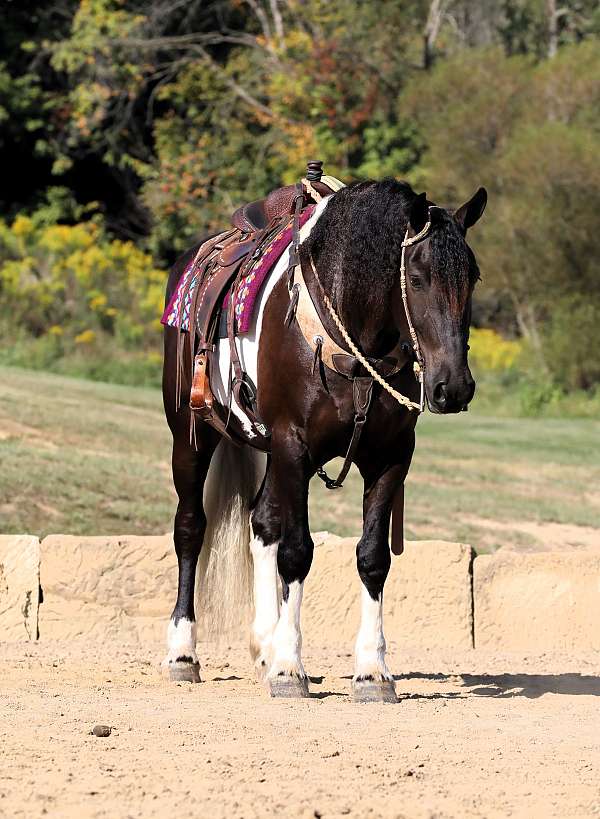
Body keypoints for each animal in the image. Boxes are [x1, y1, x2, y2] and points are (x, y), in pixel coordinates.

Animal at [161, 176, 488, 700]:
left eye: (472, 278)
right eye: (417, 278)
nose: (453, 387)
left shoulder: (391, 456)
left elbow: (372, 557)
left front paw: (372, 670)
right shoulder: (293, 445)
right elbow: (297, 552)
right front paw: (289, 668)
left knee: (261, 523)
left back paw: (264, 642)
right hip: (191, 437)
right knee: (191, 528)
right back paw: (182, 653)